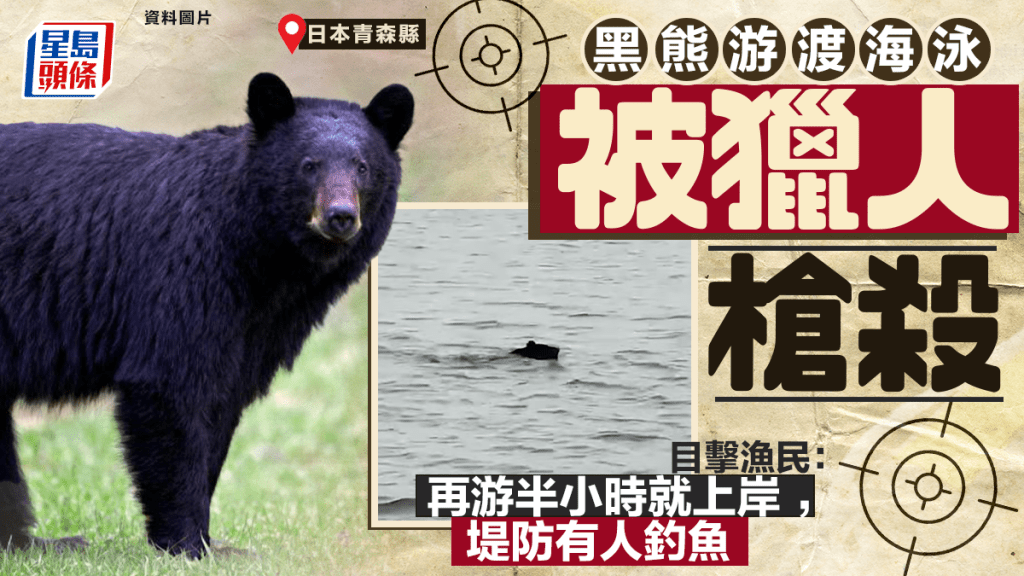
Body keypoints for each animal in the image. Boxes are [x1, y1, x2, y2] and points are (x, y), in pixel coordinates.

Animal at [0, 72, 413, 558]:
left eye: (363, 167)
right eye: (308, 165)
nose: (341, 217)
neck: (263, 256)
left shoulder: (259, 326)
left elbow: (222, 403)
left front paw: (216, 543)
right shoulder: (184, 270)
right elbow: (170, 387)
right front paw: (186, 543)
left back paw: (37, 542)